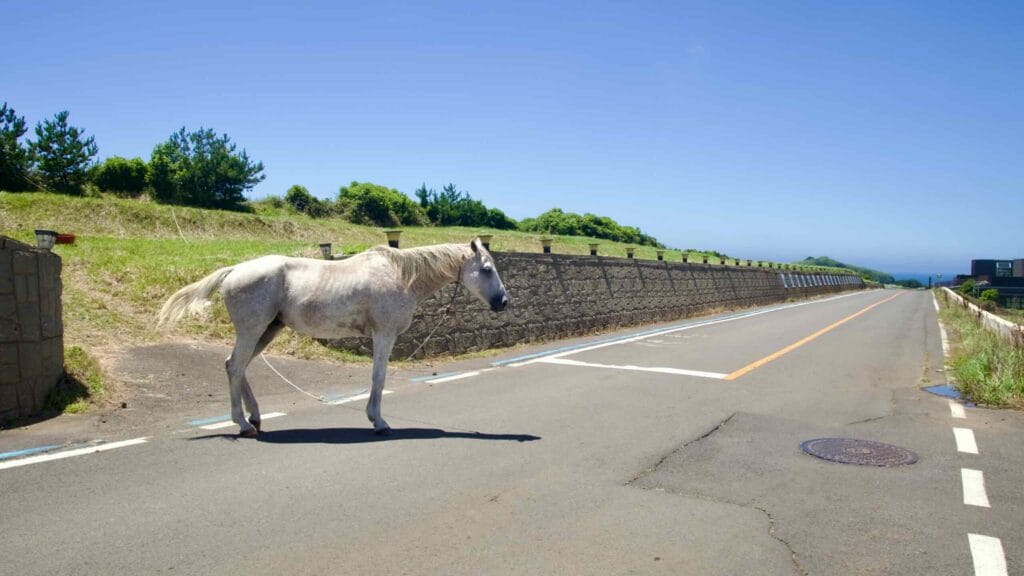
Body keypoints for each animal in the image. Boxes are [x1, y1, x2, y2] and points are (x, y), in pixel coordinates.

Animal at [157, 238, 509, 437]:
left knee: (237, 366)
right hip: (252, 330)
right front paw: (378, 421)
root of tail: (234, 270)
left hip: (266, 331)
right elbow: (378, 377)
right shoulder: (383, 335)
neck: (401, 275)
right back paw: (242, 424)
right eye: (487, 270)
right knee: (234, 367)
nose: (504, 302)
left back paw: (254, 417)